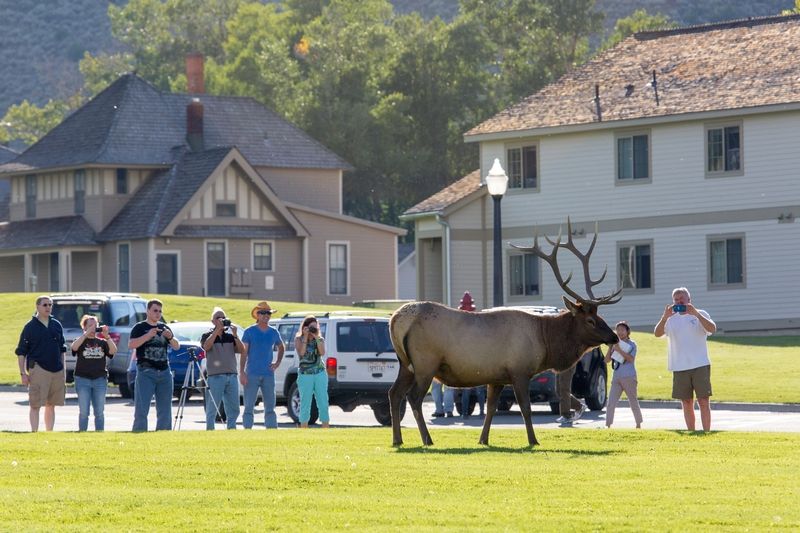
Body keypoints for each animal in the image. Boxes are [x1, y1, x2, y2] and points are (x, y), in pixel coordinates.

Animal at [388, 218, 622, 447]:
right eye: (590, 320)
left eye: (599, 315)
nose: (614, 336)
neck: (544, 341)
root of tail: (396, 320)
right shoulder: (519, 370)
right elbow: (525, 408)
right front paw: (533, 440)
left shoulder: (497, 377)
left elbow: (491, 408)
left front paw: (483, 440)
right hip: (426, 363)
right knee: (414, 397)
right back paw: (427, 439)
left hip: (405, 364)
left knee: (394, 393)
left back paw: (397, 439)